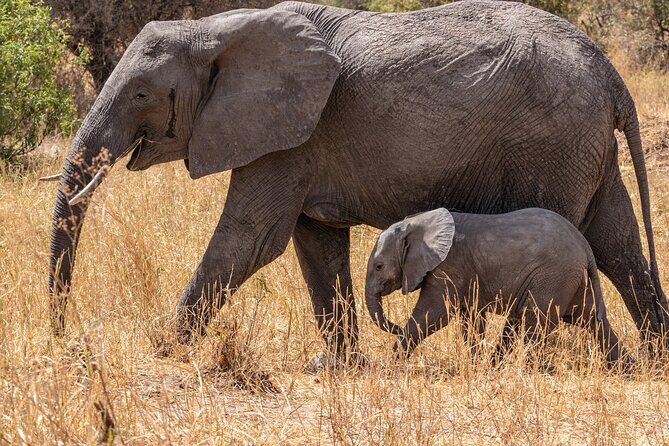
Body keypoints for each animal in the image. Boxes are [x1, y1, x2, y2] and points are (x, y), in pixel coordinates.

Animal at [364, 208, 626, 367]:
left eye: (378, 267)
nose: (395, 327)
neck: (418, 222)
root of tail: (584, 245)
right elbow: (470, 318)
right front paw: (476, 365)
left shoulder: (449, 265)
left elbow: (435, 314)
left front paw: (392, 364)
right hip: (570, 278)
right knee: (591, 319)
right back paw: (627, 369)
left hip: (554, 275)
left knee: (536, 321)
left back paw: (528, 370)